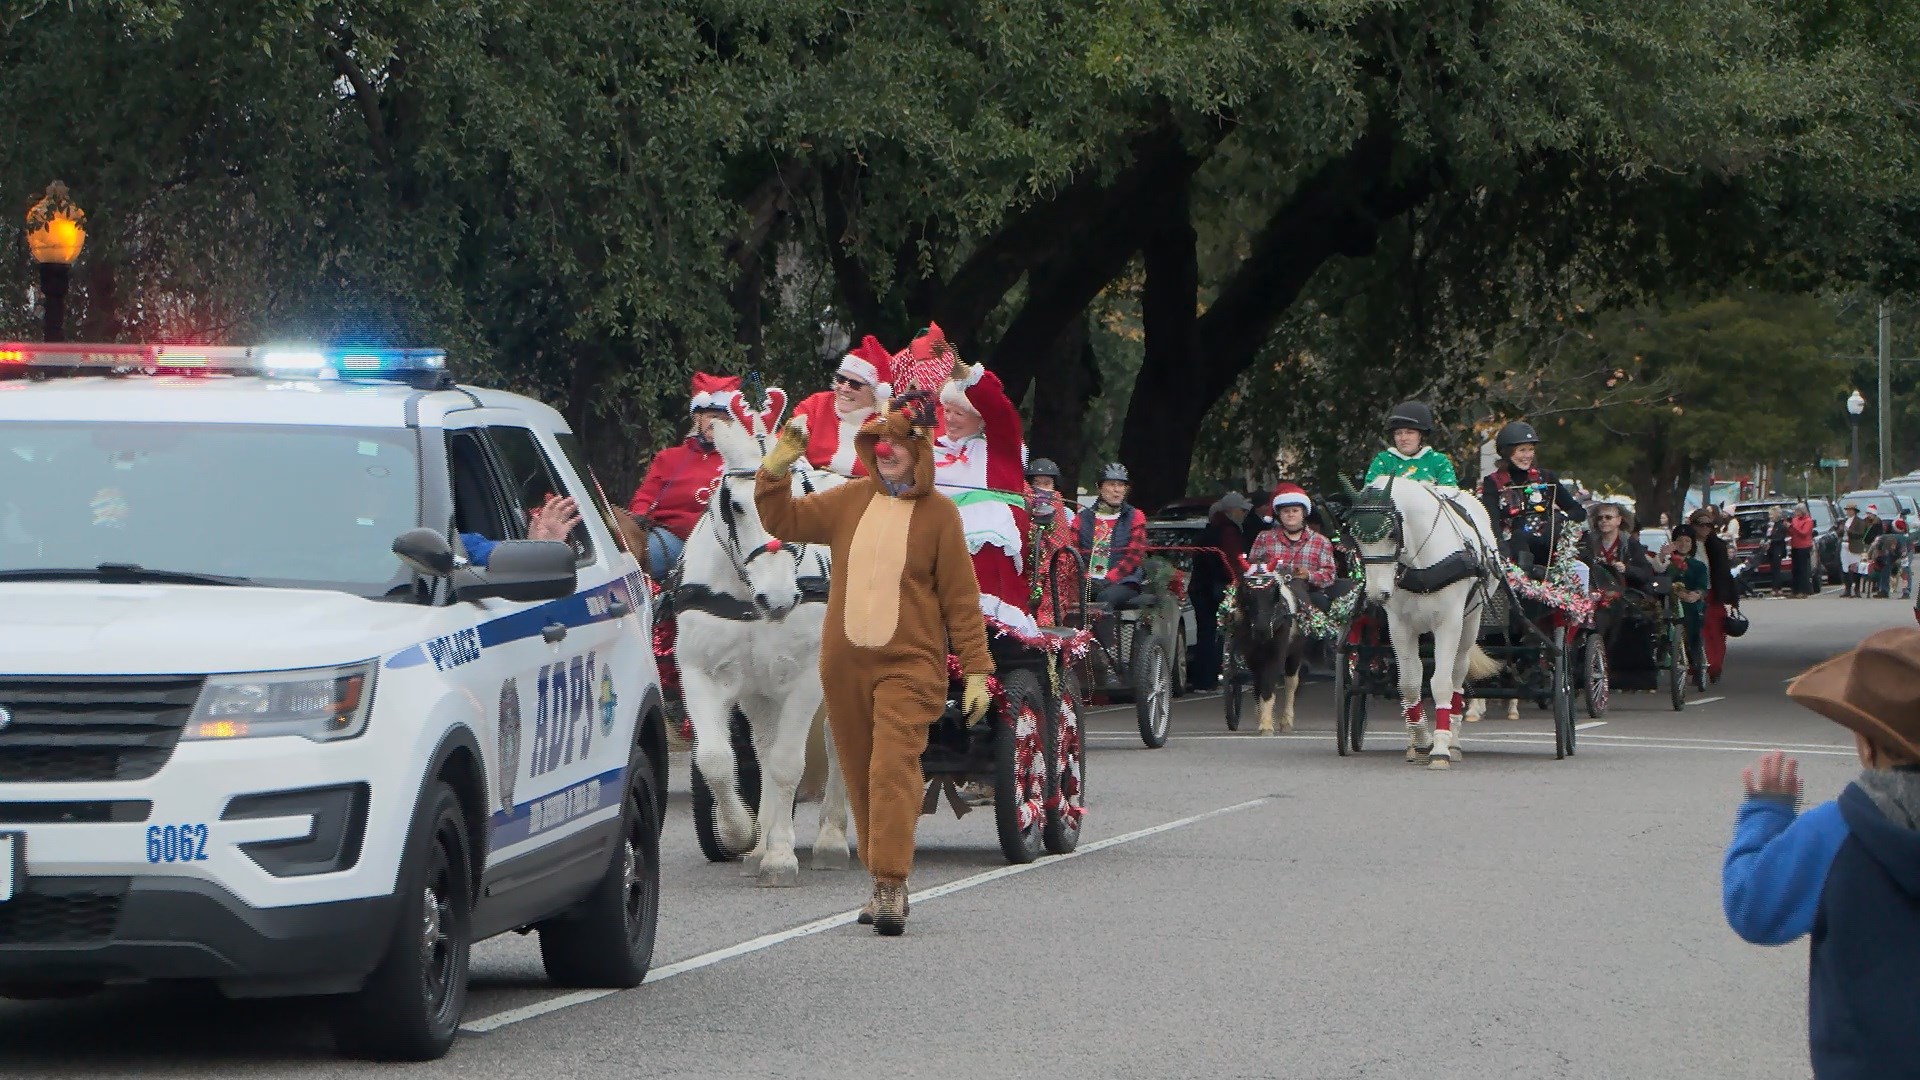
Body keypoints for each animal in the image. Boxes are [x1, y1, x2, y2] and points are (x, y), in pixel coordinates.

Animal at [679, 388, 852, 883]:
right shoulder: (700, 672)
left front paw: (780, 854)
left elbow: (787, 763)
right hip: (759, 690)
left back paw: (829, 839)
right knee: (763, 745)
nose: (777, 597)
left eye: (797, 496)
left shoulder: (806, 679)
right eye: (736, 504)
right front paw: (741, 835)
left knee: (836, 745)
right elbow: (718, 759)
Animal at [1351, 472, 1497, 764]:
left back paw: (1453, 740)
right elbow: (1408, 684)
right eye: (1354, 536)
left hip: (1469, 622)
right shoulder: (1400, 626)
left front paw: (1440, 747)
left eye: (1392, 533)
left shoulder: (1448, 624)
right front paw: (1420, 741)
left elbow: (1441, 683)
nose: (1376, 593)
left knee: (1458, 674)